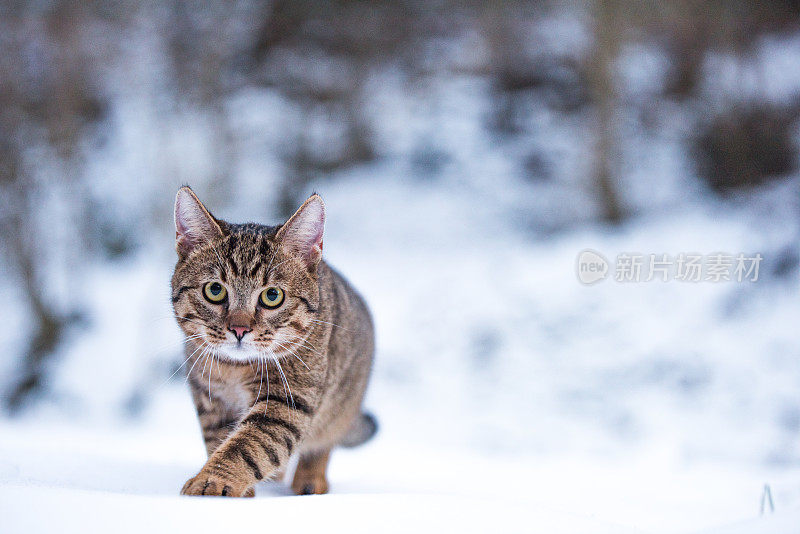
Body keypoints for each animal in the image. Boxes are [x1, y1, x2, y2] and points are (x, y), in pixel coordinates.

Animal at [170, 187, 376, 498]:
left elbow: (246, 446)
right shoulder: (209, 398)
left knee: (323, 444)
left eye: (272, 296)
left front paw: (213, 481)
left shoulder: (286, 402)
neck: (233, 370)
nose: (239, 328)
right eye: (215, 290)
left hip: (341, 402)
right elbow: (220, 439)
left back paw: (310, 481)